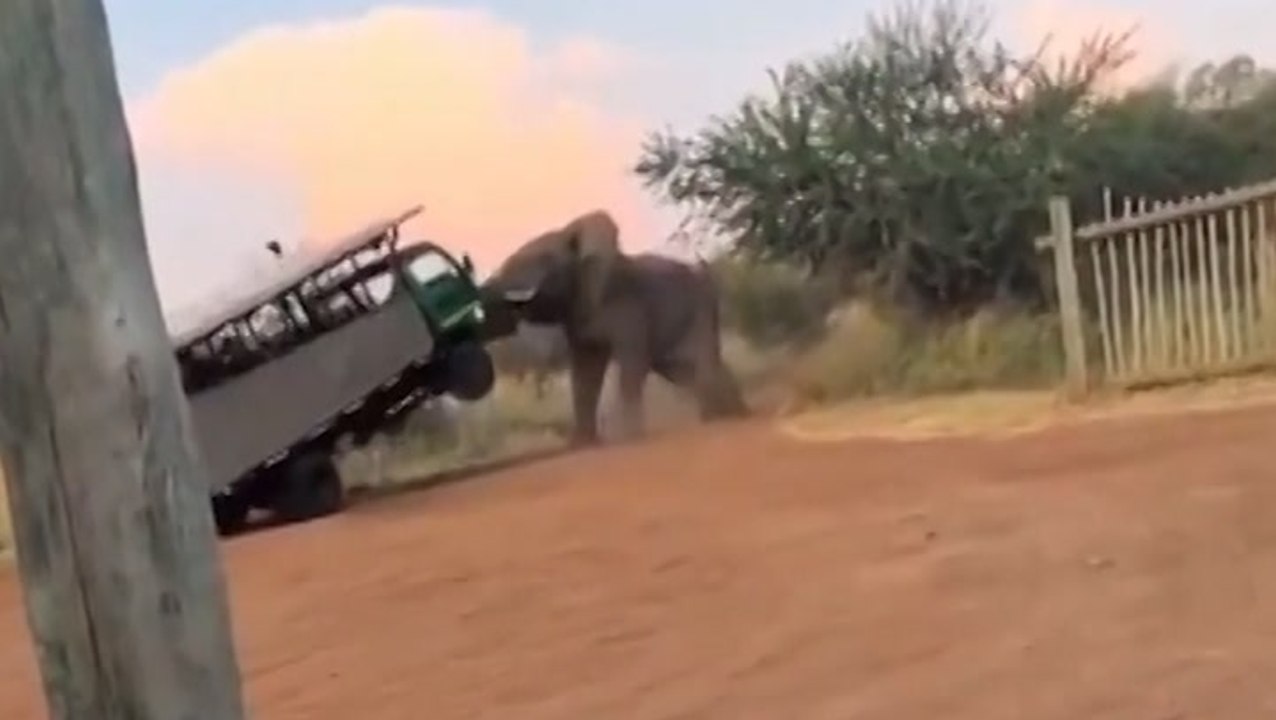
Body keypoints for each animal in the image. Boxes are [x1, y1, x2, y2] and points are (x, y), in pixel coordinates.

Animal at [479, 209, 747, 445]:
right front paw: (581, 444)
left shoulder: (628, 305)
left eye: (544, 259)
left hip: (702, 306)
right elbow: (585, 371)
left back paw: (718, 419)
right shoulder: (580, 316)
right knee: (682, 370)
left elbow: (632, 361)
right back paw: (730, 413)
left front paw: (628, 437)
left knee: (701, 361)